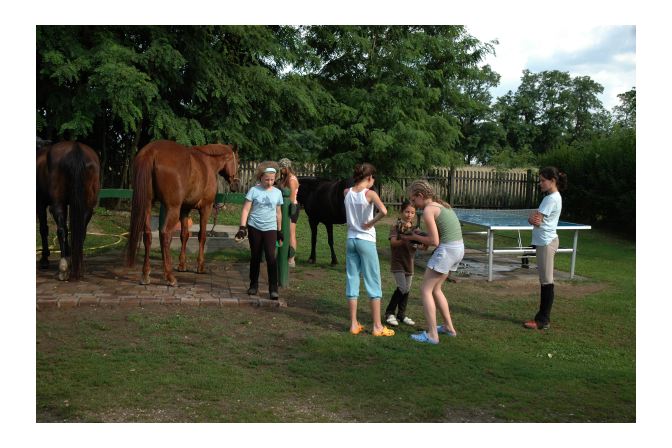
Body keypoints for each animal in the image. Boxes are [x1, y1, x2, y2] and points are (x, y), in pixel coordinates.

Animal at [36, 141, 101, 280]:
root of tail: (76, 147)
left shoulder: (40, 203)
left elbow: (43, 229)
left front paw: (44, 259)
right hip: (87, 206)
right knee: (79, 230)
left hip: (58, 203)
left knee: (61, 230)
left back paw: (63, 267)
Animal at [126, 140, 240, 287]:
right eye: (238, 160)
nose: (236, 185)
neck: (207, 162)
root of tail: (151, 152)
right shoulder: (206, 208)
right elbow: (202, 236)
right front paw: (200, 266)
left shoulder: (184, 210)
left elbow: (184, 235)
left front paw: (182, 265)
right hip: (172, 208)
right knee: (165, 234)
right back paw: (170, 277)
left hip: (147, 206)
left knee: (147, 235)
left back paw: (146, 274)